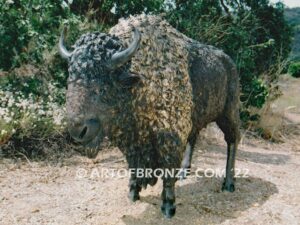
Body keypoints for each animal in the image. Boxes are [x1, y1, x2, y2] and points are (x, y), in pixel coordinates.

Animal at [59, 14, 240, 218]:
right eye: (69, 79)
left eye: (102, 86)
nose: (78, 131)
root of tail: (229, 63)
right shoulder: (133, 141)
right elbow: (134, 166)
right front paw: (133, 192)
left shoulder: (169, 136)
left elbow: (167, 170)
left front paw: (168, 207)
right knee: (194, 138)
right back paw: (184, 173)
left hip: (229, 114)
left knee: (232, 139)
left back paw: (228, 184)